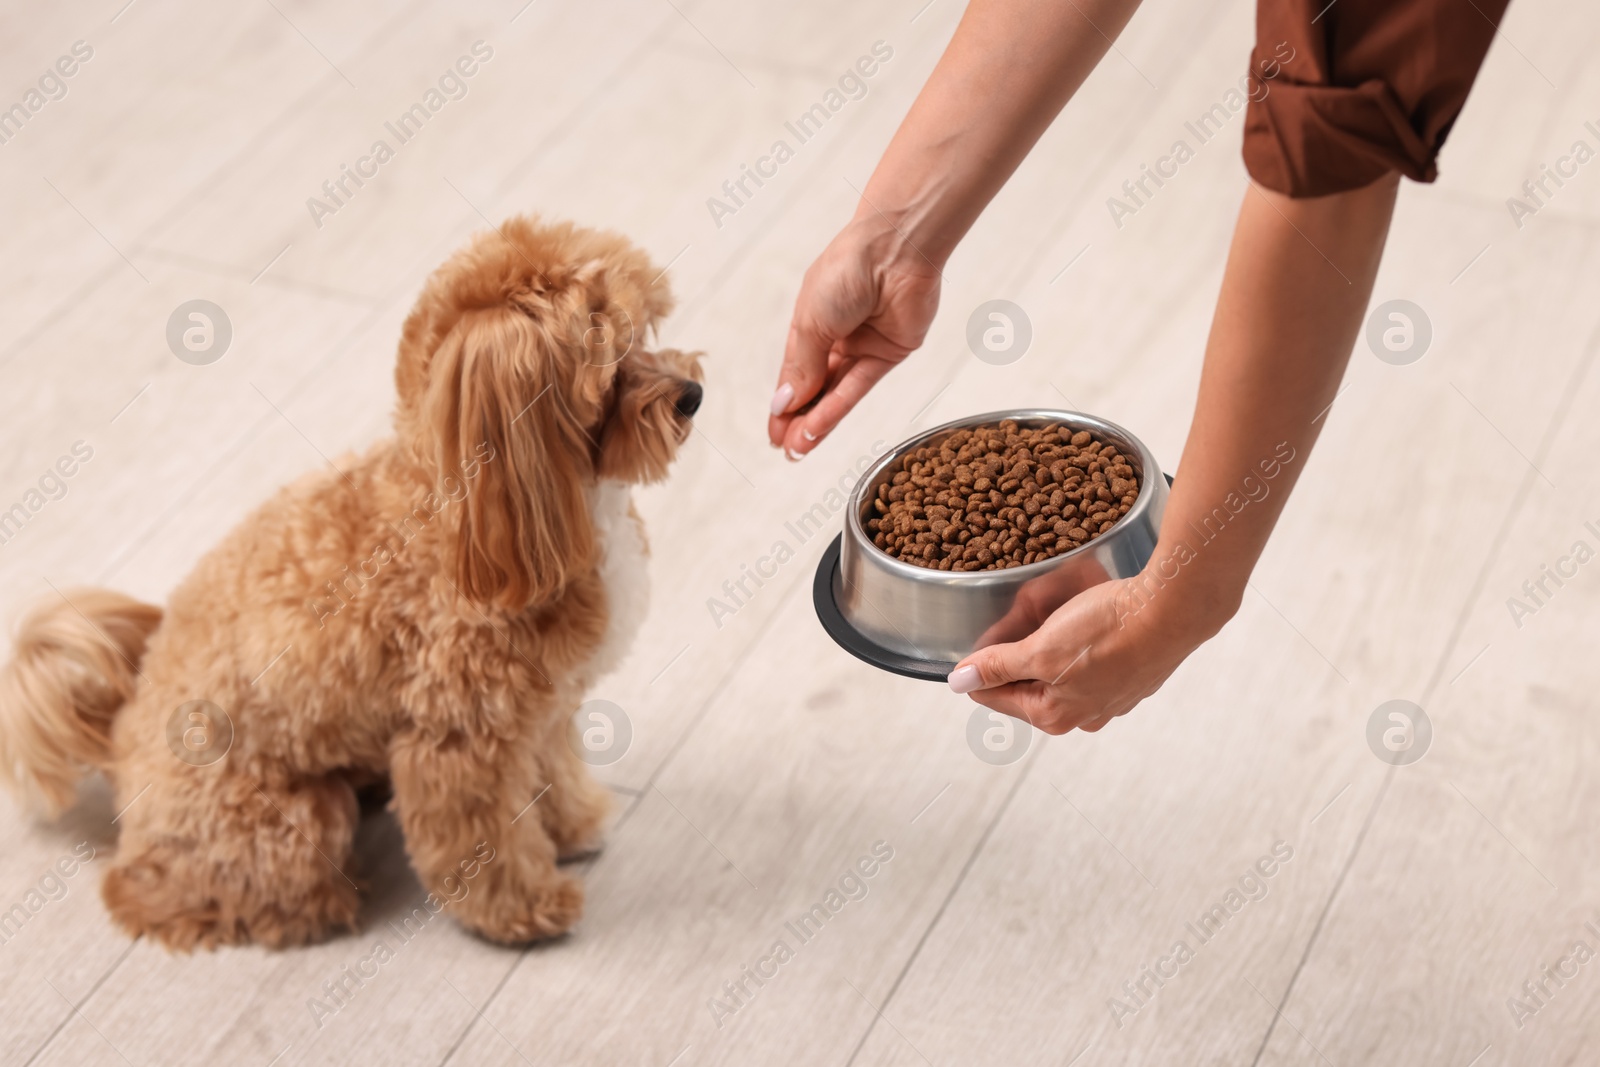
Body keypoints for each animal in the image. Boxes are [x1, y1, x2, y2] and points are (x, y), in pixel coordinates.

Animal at [0, 217, 707, 953]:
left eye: (643, 331)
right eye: (610, 359)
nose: (692, 394)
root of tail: (120, 737)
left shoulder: (541, 711)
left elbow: (555, 774)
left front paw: (574, 826)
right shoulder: (461, 740)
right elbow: (486, 841)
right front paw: (527, 909)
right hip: (288, 818)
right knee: (155, 893)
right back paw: (314, 905)